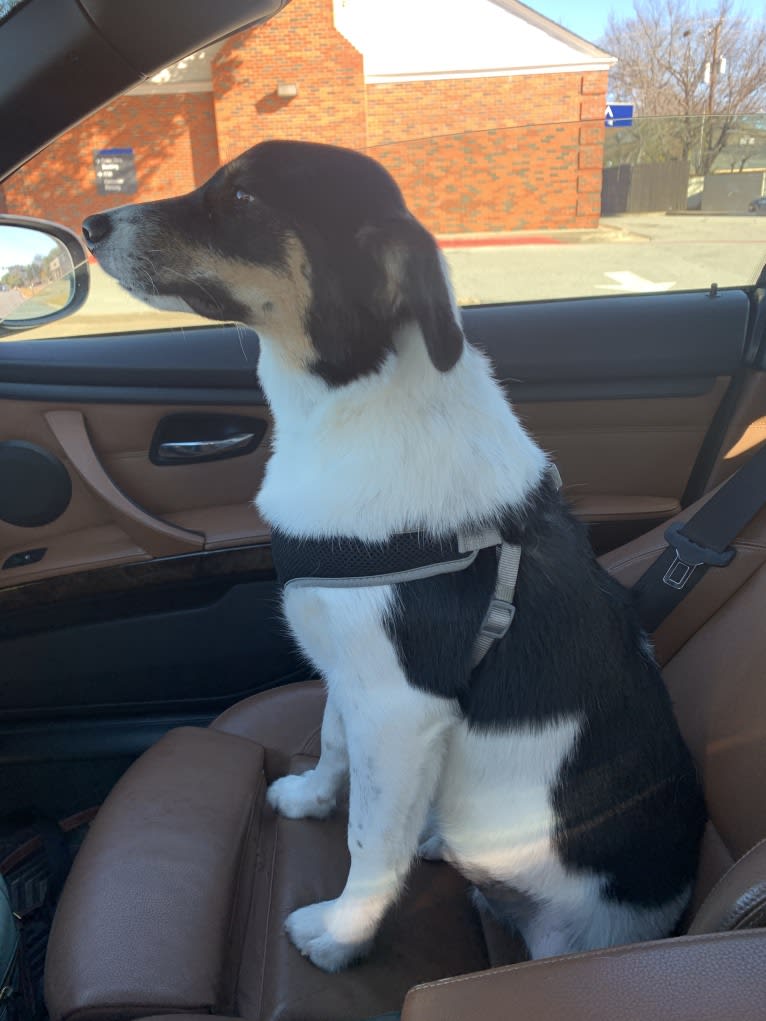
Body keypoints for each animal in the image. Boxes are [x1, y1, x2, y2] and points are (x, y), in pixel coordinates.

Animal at [82, 137, 706, 971]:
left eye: (243, 198)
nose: (91, 225)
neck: (356, 401)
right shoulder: (352, 674)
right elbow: (332, 741)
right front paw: (310, 795)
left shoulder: (400, 706)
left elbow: (370, 837)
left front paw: (344, 932)